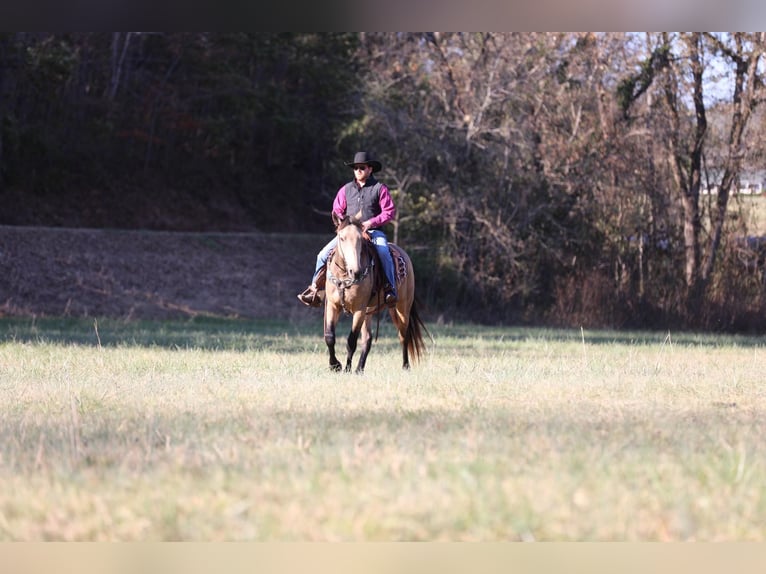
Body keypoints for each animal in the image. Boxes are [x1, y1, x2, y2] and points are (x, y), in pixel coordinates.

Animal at [324, 214, 428, 376]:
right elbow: (329, 337)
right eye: (341, 238)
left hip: (402, 308)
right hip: (372, 311)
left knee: (403, 335)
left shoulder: (359, 310)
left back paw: (405, 366)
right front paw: (335, 365)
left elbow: (351, 341)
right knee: (368, 338)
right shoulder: (332, 306)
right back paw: (359, 369)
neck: (344, 277)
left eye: (360, 239)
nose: (356, 271)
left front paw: (346, 369)